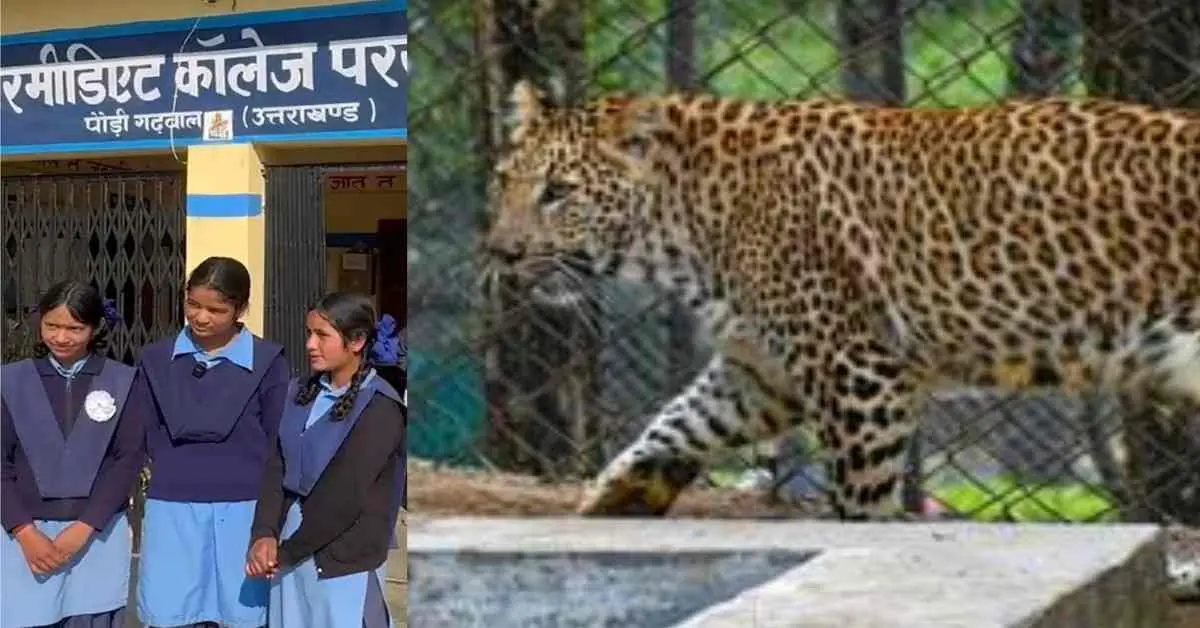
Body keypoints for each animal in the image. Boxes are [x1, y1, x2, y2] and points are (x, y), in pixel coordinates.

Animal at [482, 79, 1200, 521]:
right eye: (503, 180)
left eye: (558, 192)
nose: (501, 252)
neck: (686, 225)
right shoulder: (759, 374)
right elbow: (675, 426)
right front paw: (615, 502)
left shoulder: (857, 372)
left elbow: (861, 496)